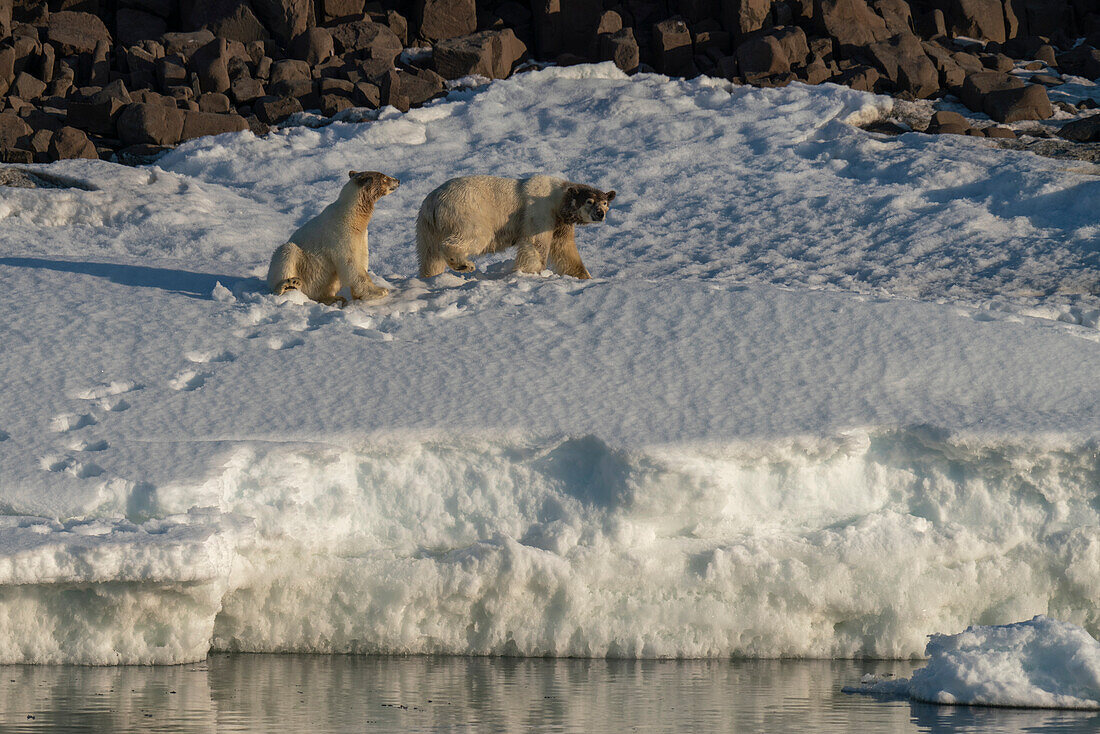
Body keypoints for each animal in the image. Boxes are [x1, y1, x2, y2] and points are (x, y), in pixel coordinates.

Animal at [267, 170, 400, 305]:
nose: (398, 180)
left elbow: (362, 258)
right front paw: (380, 291)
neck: (351, 215)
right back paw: (289, 284)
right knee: (286, 252)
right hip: (302, 266)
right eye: (384, 178)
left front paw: (358, 295)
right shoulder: (341, 234)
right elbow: (351, 262)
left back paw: (335, 298)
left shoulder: (362, 236)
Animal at [413, 176, 616, 279]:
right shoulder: (539, 210)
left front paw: (584, 276)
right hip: (468, 211)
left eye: (605, 202)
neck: (557, 196)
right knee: (474, 236)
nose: (600, 214)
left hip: (426, 227)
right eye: (589, 201)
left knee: (430, 256)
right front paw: (531, 272)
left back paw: (429, 276)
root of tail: (434, 203)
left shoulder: (561, 222)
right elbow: (535, 244)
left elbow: (565, 250)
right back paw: (463, 264)